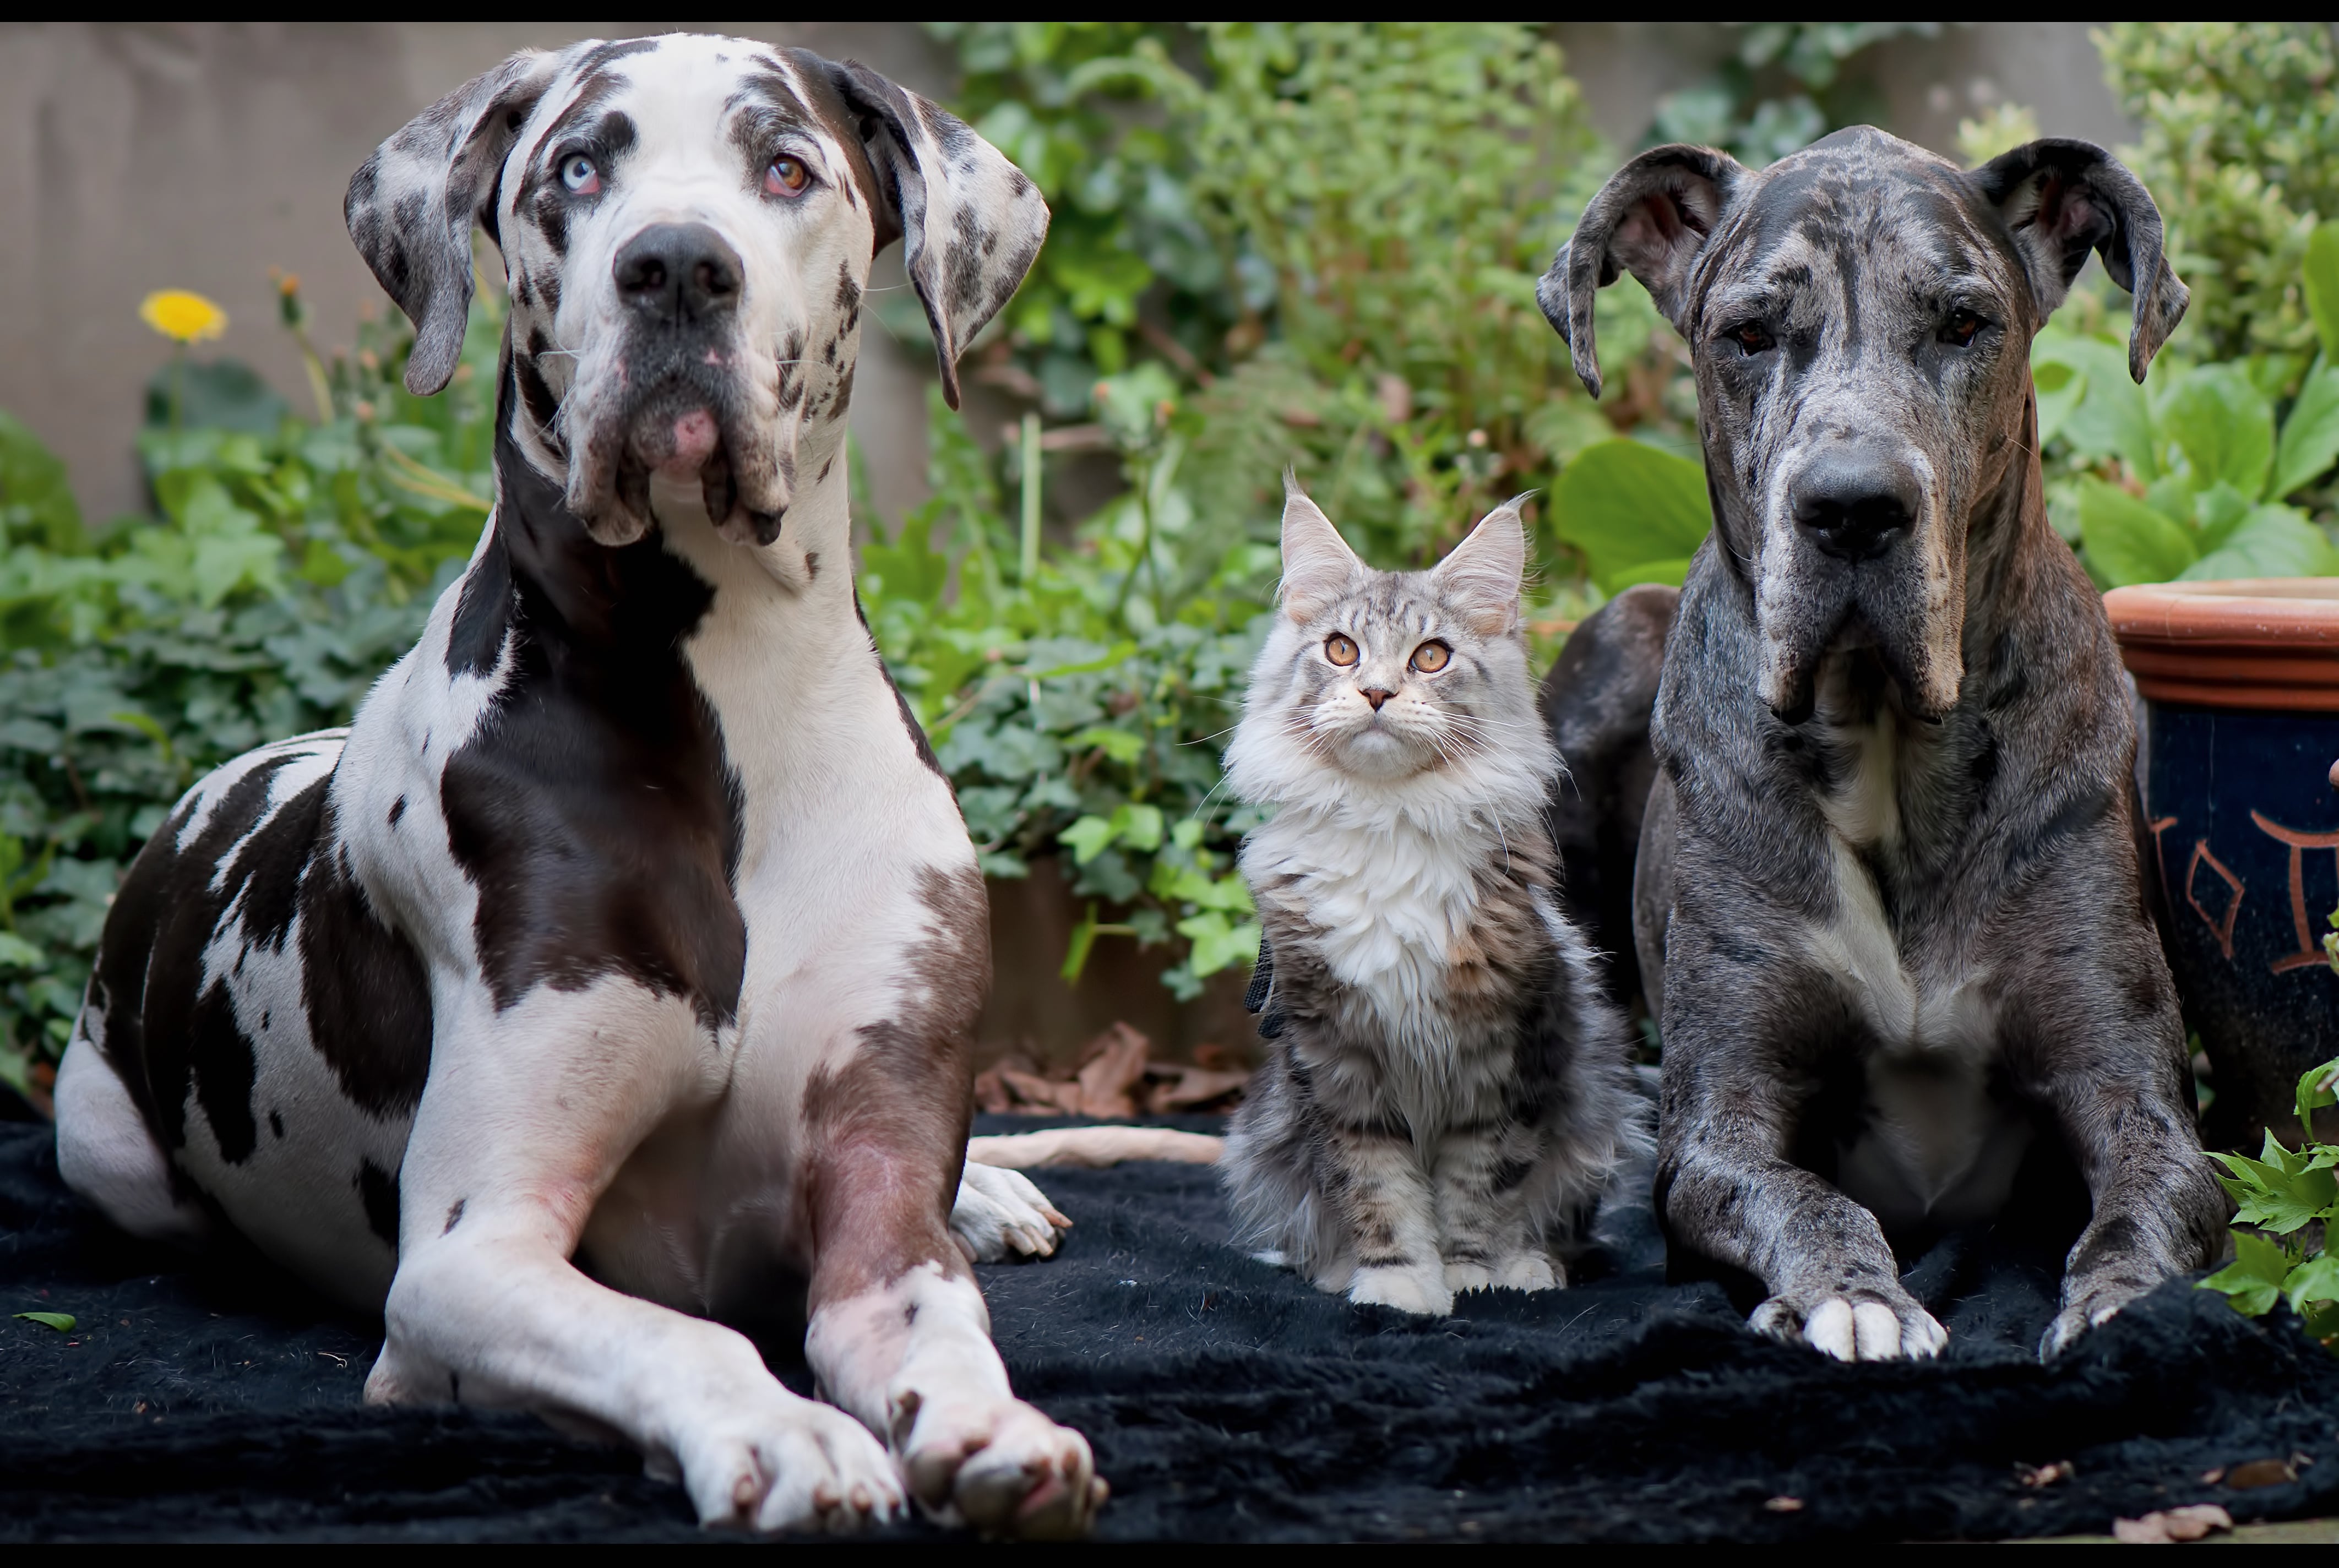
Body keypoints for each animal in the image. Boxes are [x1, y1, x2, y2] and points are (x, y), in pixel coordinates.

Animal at [1225, 484, 1646, 1320]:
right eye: (1342, 651)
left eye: (1431, 657)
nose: (1377, 692)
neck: (1388, 826)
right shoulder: (1338, 1061)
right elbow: (1378, 1189)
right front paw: (1396, 1284)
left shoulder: (1503, 1056)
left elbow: (1477, 1188)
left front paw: (1473, 1275)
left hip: (1597, 1114)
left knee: (1563, 1223)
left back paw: (1531, 1267)